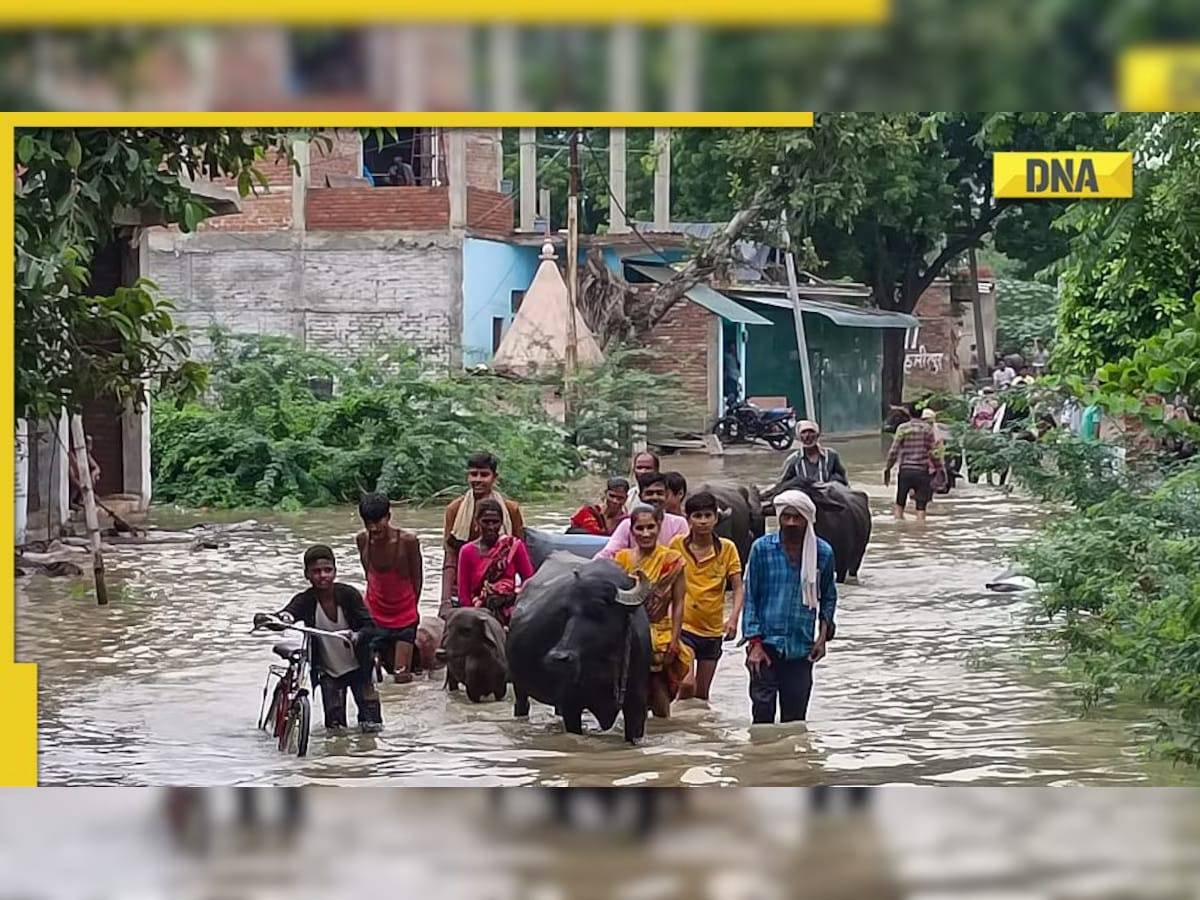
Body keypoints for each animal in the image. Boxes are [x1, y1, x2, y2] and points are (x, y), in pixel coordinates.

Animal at [504, 554, 652, 744]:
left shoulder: (637, 705)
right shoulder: (571, 704)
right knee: (522, 705)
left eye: (599, 607)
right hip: (519, 685)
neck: (605, 664)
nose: (559, 657)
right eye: (566, 610)